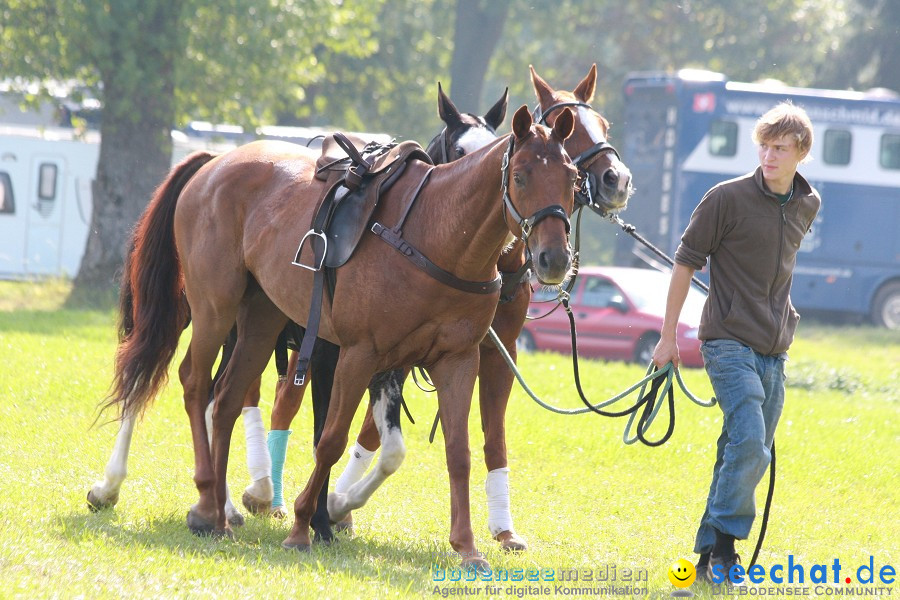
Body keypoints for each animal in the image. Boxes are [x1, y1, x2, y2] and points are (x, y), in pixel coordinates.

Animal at [103, 105, 576, 568]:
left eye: (571, 177)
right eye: (520, 176)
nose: (552, 259)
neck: (437, 236)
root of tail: (214, 163)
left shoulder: (456, 361)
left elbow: (456, 452)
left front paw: (467, 547)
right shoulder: (357, 355)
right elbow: (329, 440)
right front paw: (304, 525)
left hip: (260, 318)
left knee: (227, 398)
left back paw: (219, 512)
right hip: (211, 309)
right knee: (184, 379)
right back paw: (184, 499)